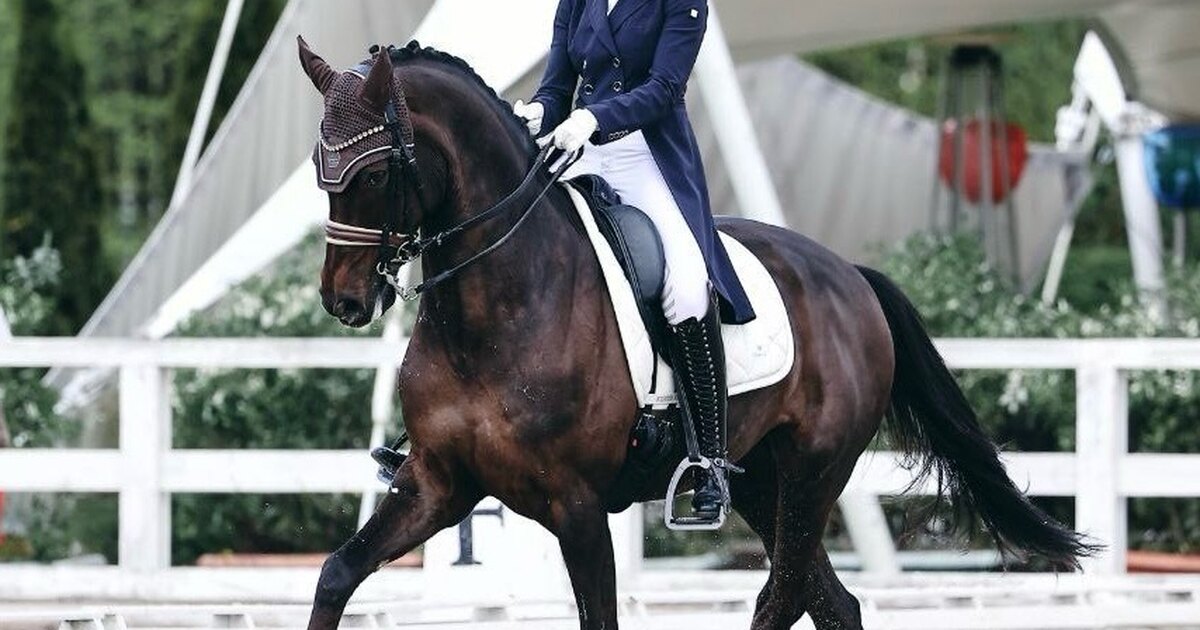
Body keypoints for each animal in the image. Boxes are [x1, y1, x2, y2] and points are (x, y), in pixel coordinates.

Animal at [298, 39, 1093, 630]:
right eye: (319, 169)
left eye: (374, 175)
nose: (344, 300)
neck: (495, 312)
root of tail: (850, 275)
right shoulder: (439, 482)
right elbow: (337, 572)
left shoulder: (577, 507)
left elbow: (600, 618)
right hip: (763, 483)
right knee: (827, 601)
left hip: (814, 473)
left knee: (784, 596)